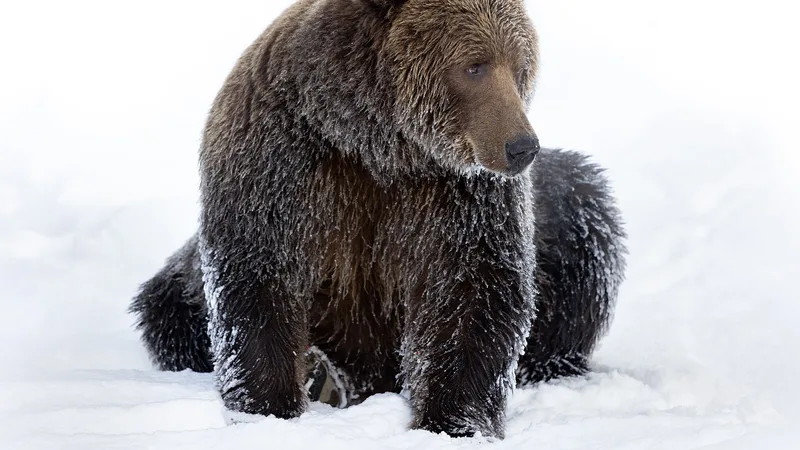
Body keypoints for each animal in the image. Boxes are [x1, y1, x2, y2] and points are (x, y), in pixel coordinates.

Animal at [129, 0, 626, 439]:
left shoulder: (458, 196)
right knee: (169, 305)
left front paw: (453, 421)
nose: (522, 146)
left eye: (520, 65)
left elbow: (475, 287)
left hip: (558, 207)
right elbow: (257, 275)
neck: (379, 143)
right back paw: (320, 373)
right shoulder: (282, 161)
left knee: (585, 231)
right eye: (475, 66)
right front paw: (271, 407)